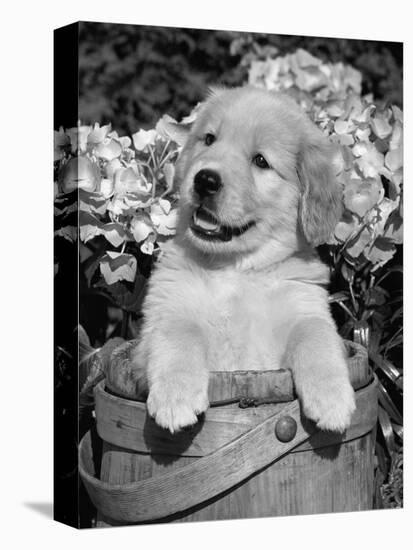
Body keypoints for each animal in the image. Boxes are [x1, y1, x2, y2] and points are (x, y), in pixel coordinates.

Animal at [131, 85, 354, 436]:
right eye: (209, 139)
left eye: (260, 161)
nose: (205, 180)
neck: (235, 269)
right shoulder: (163, 314)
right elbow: (178, 333)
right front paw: (175, 397)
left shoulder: (305, 307)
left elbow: (317, 336)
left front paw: (332, 400)